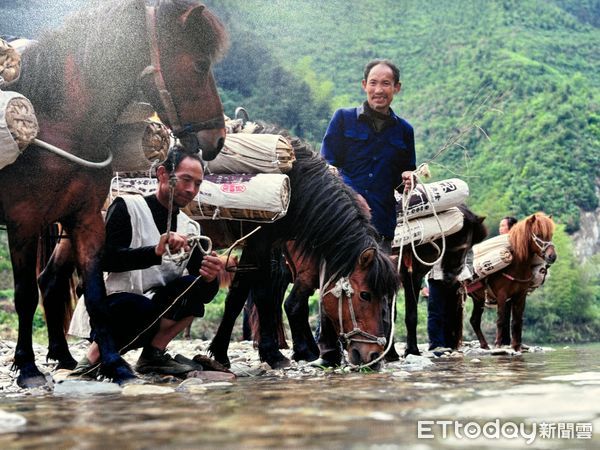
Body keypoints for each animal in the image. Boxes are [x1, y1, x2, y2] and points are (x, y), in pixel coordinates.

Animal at [3, 0, 229, 386]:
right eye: (200, 64)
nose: (218, 138)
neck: (58, 124)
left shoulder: (86, 219)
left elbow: (95, 294)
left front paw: (114, 364)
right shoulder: (23, 222)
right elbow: (24, 295)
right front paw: (27, 367)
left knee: (52, 281)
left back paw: (64, 356)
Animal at [468, 212, 556, 352]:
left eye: (551, 234)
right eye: (538, 234)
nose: (552, 256)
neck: (516, 266)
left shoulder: (520, 295)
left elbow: (517, 321)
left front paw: (516, 346)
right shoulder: (501, 294)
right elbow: (501, 320)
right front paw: (498, 345)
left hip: (478, 298)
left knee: (474, 320)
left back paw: (484, 345)